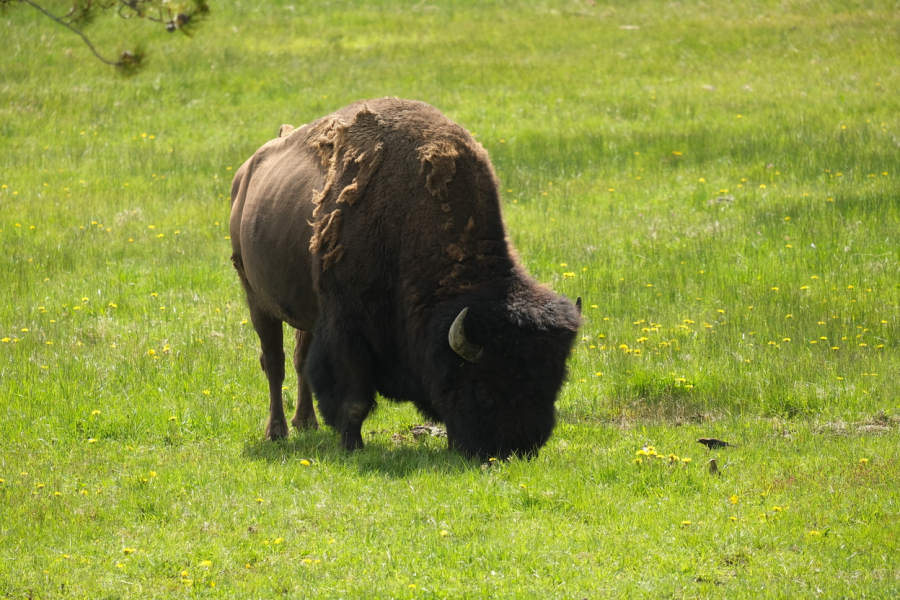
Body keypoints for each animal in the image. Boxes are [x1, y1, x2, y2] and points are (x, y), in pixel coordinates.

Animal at [230, 98, 581, 459]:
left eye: (554, 383)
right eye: (485, 390)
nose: (519, 449)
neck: (409, 220)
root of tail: (247, 172)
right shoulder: (346, 326)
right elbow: (354, 399)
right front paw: (352, 447)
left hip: (305, 312)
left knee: (300, 360)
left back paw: (306, 422)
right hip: (256, 297)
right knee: (275, 361)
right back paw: (277, 432)